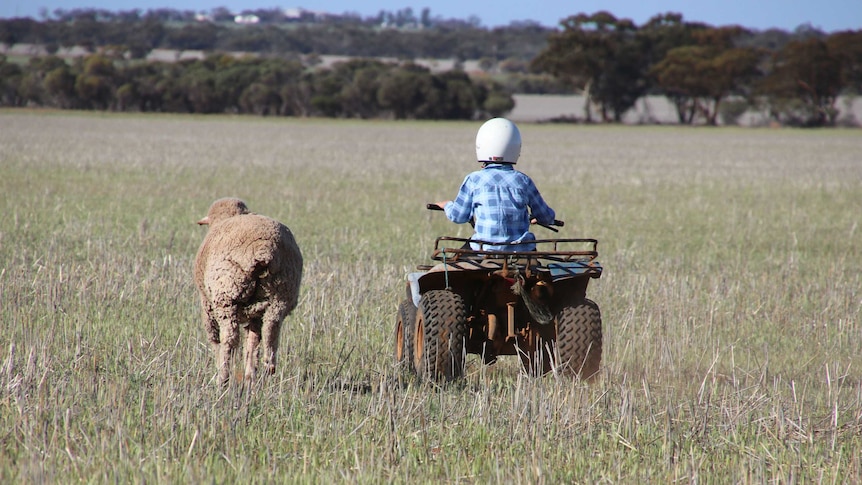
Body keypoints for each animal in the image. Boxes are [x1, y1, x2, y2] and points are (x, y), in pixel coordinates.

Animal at [195, 198, 304, 386]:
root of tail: (263, 248)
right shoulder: (255, 313)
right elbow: (253, 340)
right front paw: (250, 372)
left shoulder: (207, 305)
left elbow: (214, 338)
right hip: (281, 294)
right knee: (270, 329)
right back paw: (266, 368)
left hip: (227, 295)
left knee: (230, 338)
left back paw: (223, 378)